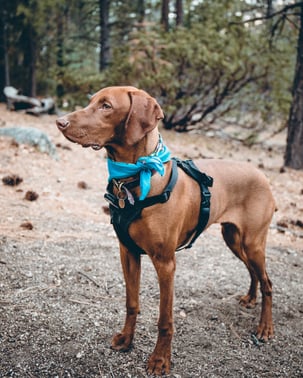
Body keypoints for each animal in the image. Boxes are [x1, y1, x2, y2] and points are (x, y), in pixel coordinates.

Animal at [55, 86, 276, 376]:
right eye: (91, 101)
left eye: (106, 106)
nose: (60, 122)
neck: (137, 175)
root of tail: (262, 175)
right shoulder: (128, 252)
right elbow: (132, 303)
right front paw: (126, 340)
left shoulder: (165, 263)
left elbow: (164, 320)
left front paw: (160, 360)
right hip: (233, 238)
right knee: (253, 273)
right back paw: (250, 298)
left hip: (253, 243)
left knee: (268, 282)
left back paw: (265, 328)